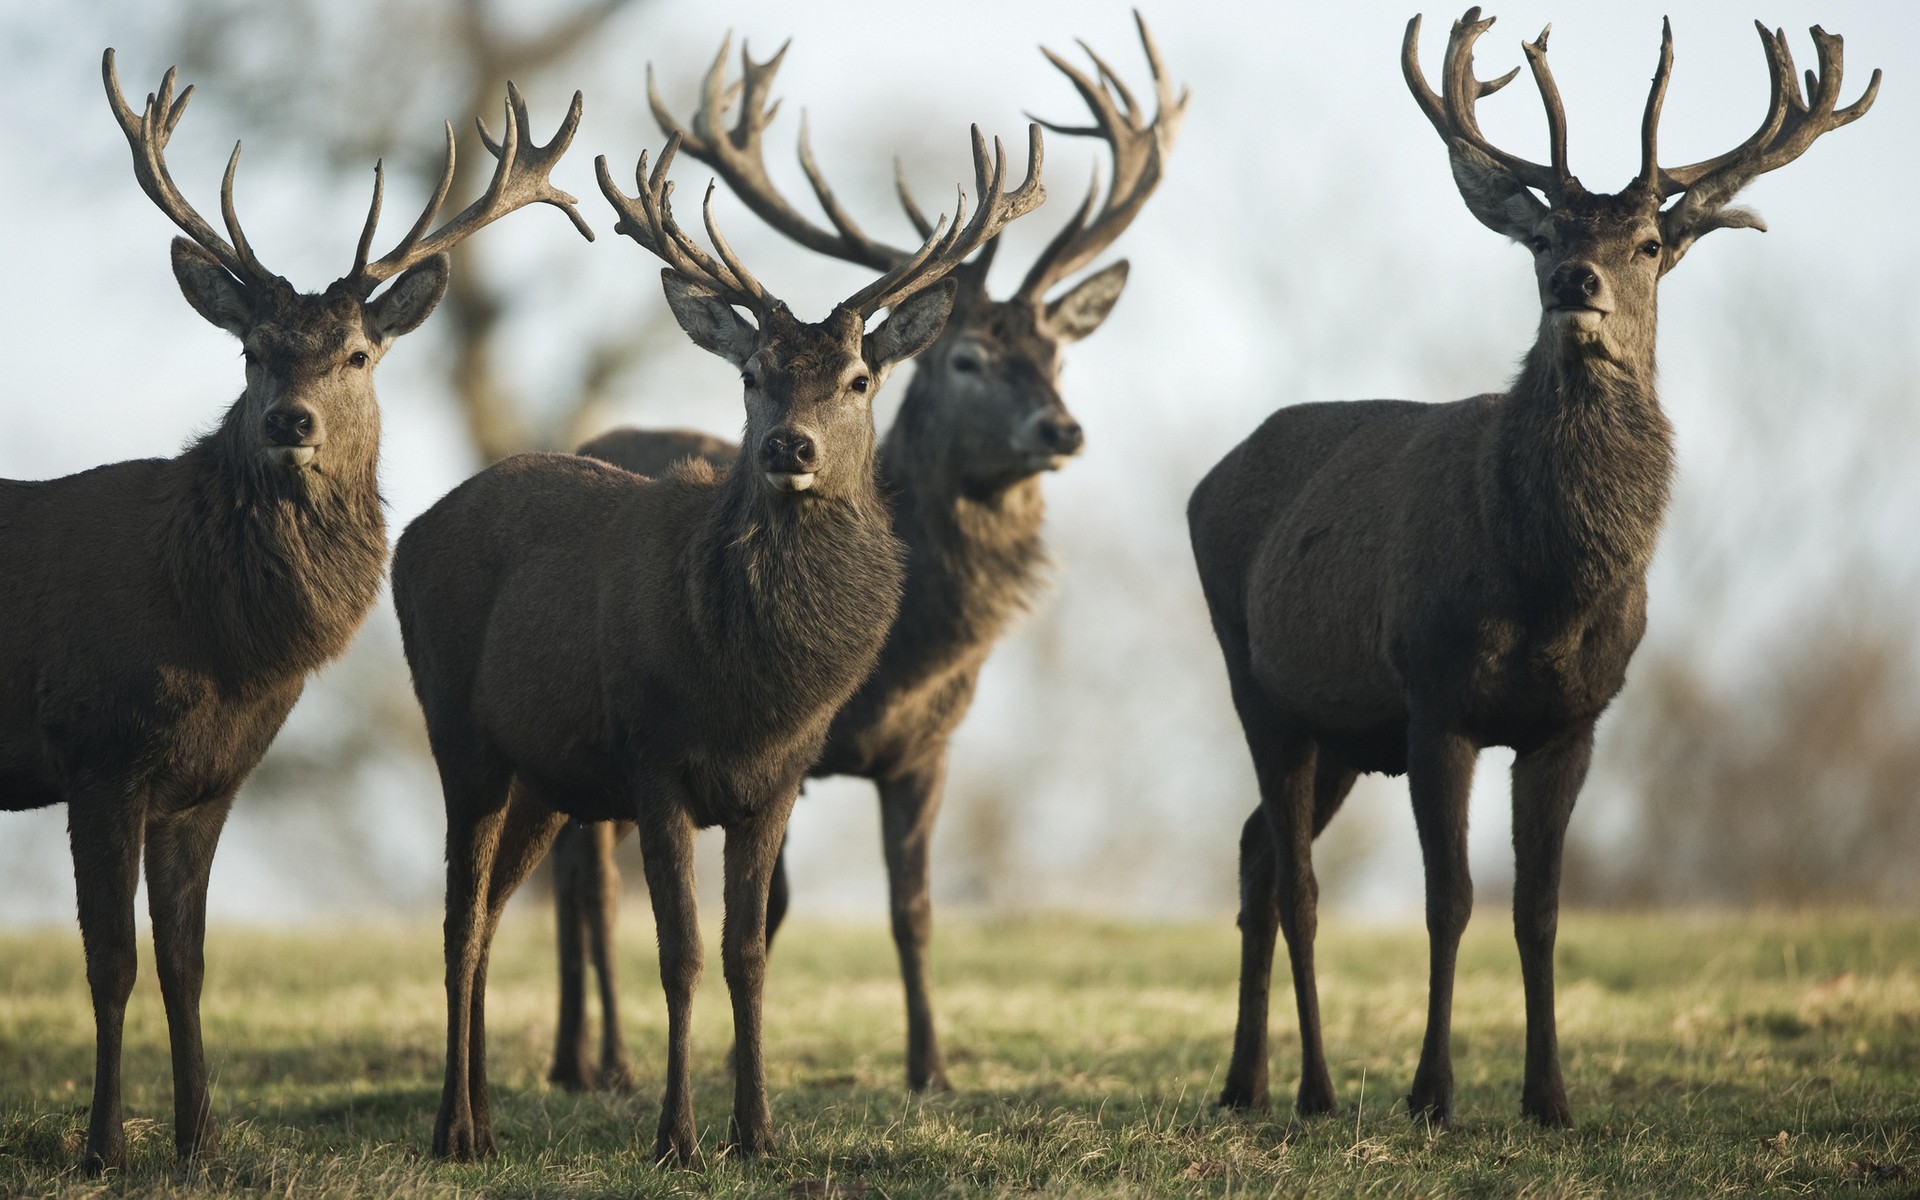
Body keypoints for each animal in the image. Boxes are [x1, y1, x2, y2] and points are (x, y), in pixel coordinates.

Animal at [0, 53, 587, 1167]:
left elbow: (186, 963)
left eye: (358, 354)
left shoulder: (208, 781)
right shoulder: (97, 750)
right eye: (252, 350)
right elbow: (111, 965)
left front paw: (198, 1143)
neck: (222, 644)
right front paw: (102, 1150)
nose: (290, 421)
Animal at [393, 117, 1052, 1159]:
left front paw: (759, 1132)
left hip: (545, 777)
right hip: (460, 733)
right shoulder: (653, 759)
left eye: (859, 377)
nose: (790, 447)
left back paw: (491, 1121)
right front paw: (677, 1137)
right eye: (752, 376)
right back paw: (456, 1130)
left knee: (494, 915)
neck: (753, 688)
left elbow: (748, 951)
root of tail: (407, 536)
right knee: (460, 917)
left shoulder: (778, 777)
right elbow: (681, 953)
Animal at [533, 14, 1175, 1098]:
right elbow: (770, 911)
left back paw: (583, 1057)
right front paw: (738, 1066)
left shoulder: (929, 747)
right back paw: (599, 1061)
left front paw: (932, 1069)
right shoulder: (777, 749)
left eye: (1057, 354)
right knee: (586, 879)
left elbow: (912, 911)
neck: (906, 660)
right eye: (965, 359)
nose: (1062, 428)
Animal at [1182, 9, 1873, 1128]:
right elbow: (1449, 900)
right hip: (1258, 681)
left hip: (1341, 729)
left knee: (1253, 856)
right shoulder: (1435, 700)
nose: (1574, 285)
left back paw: (1245, 1084)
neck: (1550, 587)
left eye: (1648, 243)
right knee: (1297, 883)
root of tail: (1207, 481)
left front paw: (1549, 1096)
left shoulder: (1573, 719)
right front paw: (1430, 1093)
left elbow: (1542, 910)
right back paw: (1315, 1090)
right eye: (1546, 237)